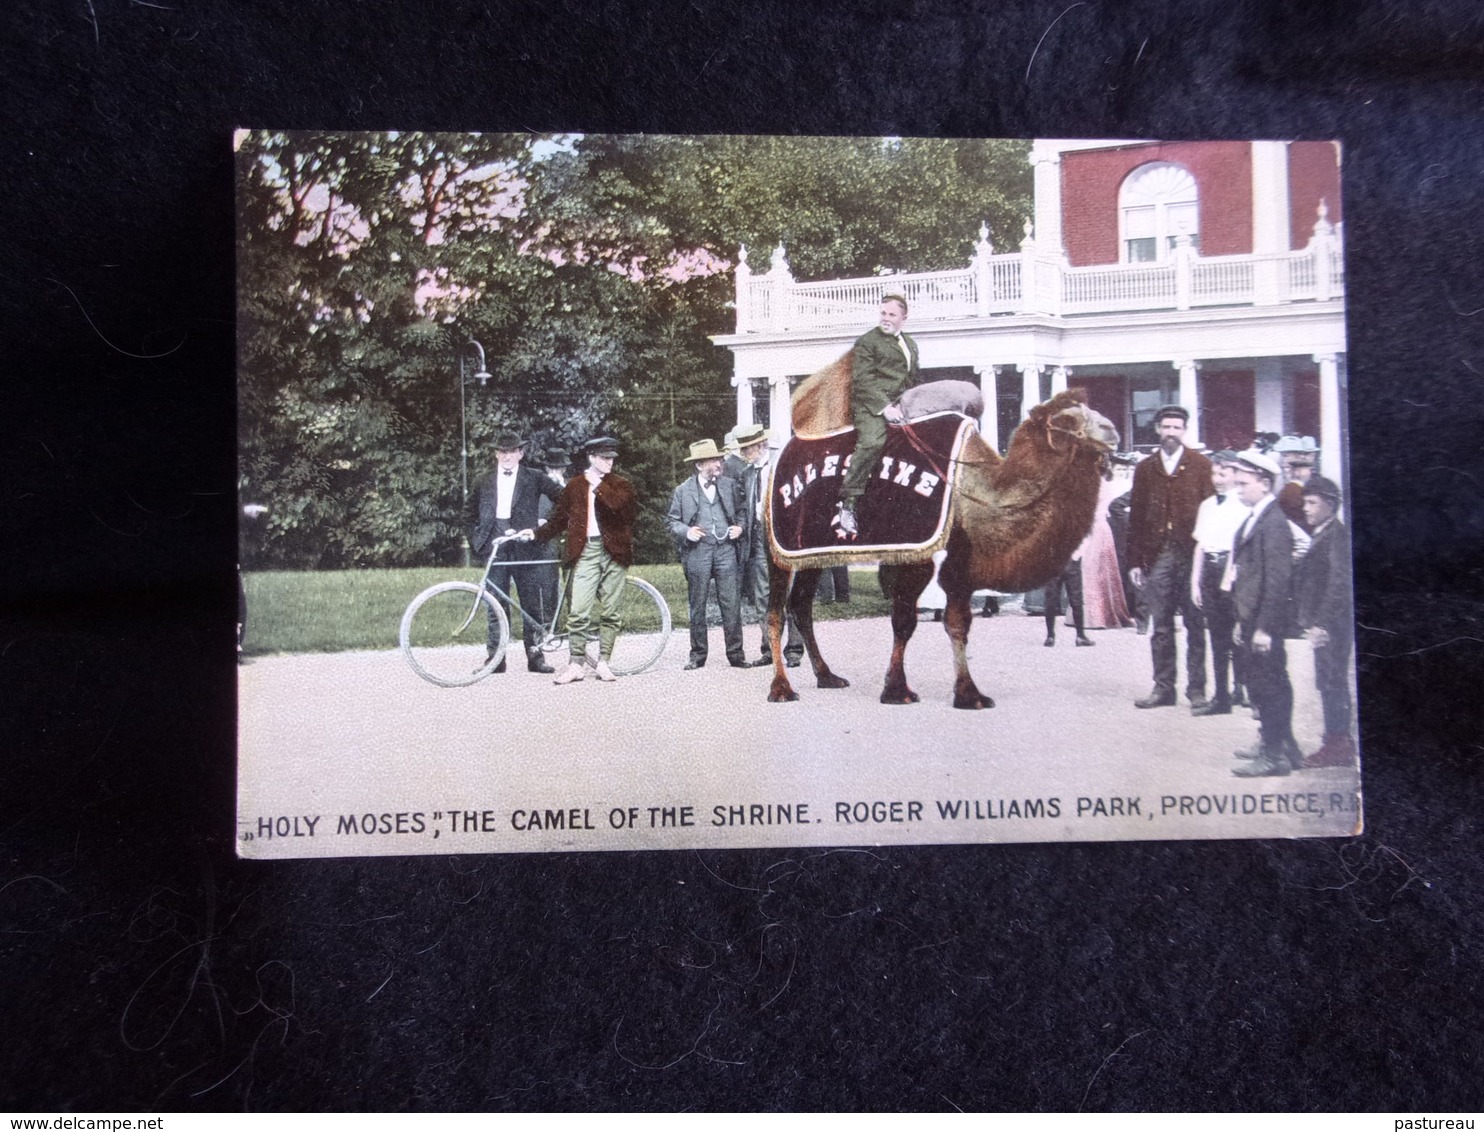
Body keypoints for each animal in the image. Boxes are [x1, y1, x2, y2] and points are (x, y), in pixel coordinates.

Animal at [765, 354, 1115, 709]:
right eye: (1067, 419)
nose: (1112, 430)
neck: (973, 490)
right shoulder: (917, 556)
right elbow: (905, 620)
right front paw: (898, 691)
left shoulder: (960, 565)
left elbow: (957, 623)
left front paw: (969, 694)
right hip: (777, 547)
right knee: (776, 609)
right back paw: (781, 688)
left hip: (810, 550)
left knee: (801, 603)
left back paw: (827, 676)